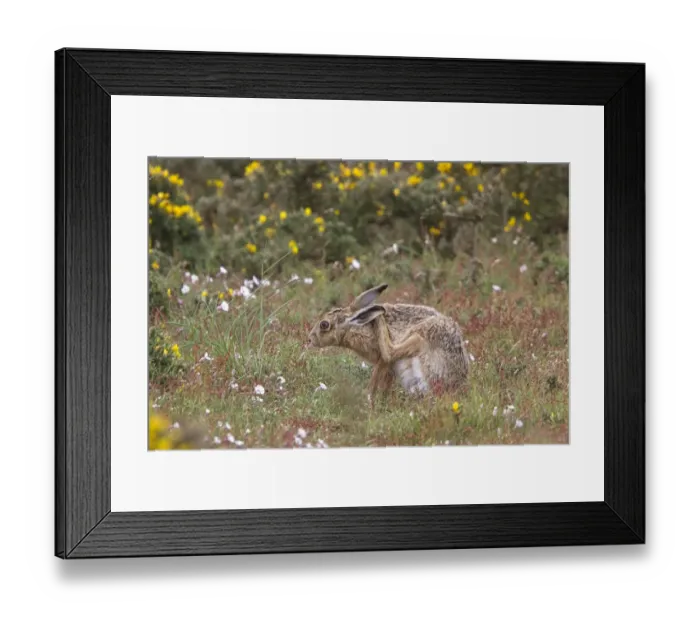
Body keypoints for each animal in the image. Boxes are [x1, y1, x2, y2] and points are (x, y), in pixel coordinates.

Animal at [307, 283, 469, 406]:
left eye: (324, 325)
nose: (309, 340)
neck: (357, 325)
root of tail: (453, 385)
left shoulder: (382, 360)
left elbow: (378, 373)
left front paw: (369, 397)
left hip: (421, 337)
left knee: (391, 351)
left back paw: (380, 319)